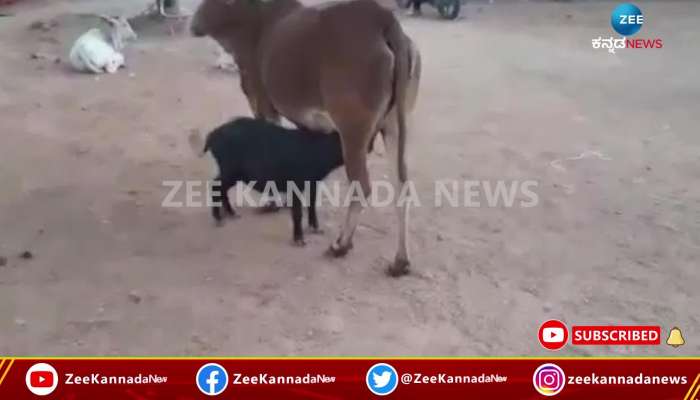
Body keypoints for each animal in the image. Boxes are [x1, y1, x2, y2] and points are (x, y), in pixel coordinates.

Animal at [190, 0, 422, 276]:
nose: (194, 23)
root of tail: (383, 19)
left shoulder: (262, 101)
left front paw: (274, 202)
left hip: (353, 130)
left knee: (362, 187)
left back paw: (341, 244)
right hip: (396, 123)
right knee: (402, 185)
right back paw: (400, 260)